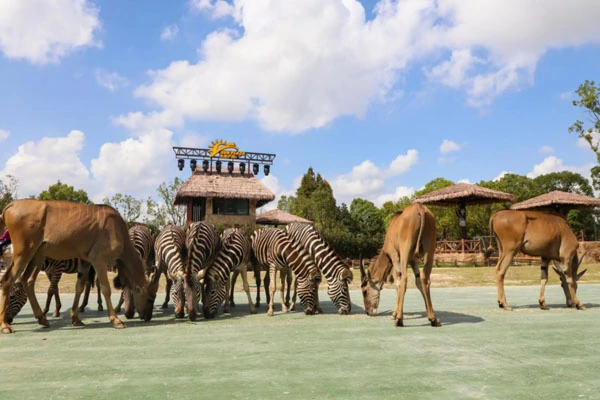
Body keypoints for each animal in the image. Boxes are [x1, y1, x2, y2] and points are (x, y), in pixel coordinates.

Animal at [0, 200, 159, 334]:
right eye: (151, 297)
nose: (147, 317)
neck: (118, 229)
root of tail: (11, 205)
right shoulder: (99, 260)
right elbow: (106, 289)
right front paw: (116, 320)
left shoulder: (85, 262)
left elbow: (79, 287)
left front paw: (76, 318)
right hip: (23, 253)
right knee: (7, 280)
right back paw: (4, 326)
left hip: (37, 255)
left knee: (27, 281)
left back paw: (42, 318)